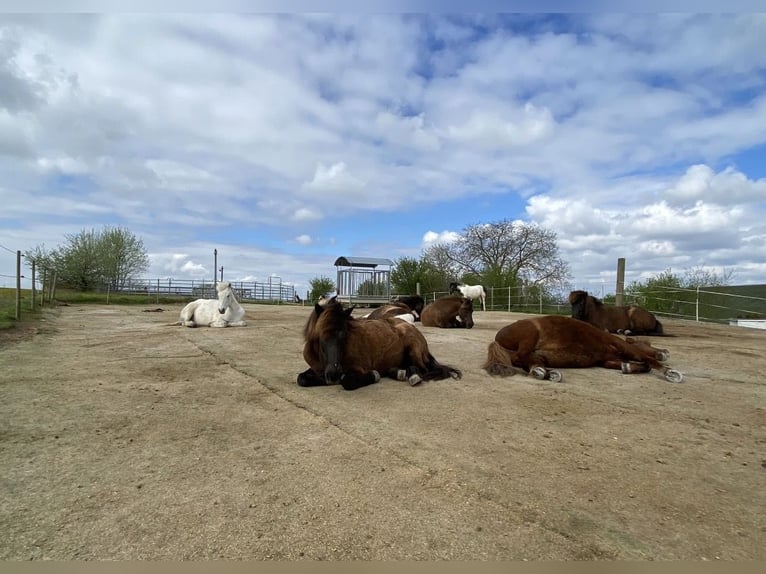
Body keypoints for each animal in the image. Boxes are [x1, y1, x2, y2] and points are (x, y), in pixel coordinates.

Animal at [297, 296, 462, 390]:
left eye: (344, 334)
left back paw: (410, 376)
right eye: (320, 335)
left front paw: (374, 375)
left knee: (422, 369)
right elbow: (302, 379)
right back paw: (398, 372)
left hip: (413, 349)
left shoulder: (358, 368)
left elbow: (347, 381)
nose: (333, 373)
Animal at [483, 315, 682, 383]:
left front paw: (627, 367)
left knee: (528, 361)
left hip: (534, 354)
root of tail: (497, 340)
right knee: (521, 356)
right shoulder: (622, 346)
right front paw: (670, 373)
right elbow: (647, 359)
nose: (665, 352)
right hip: (530, 335)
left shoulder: (607, 359)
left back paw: (546, 372)